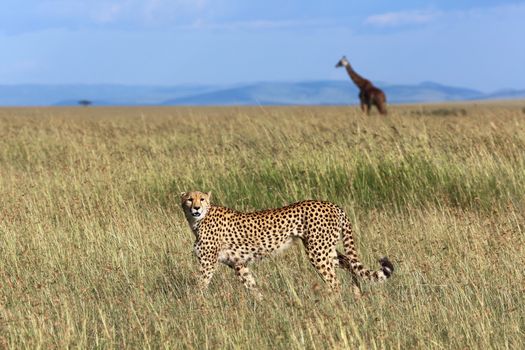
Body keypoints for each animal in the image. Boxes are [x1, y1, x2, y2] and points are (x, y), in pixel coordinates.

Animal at [181, 191, 392, 298]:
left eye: (202, 199)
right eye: (189, 199)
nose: (196, 208)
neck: (197, 221)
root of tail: (332, 205)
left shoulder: (208, 263)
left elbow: (201, 284)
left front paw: (195, 306)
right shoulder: (238, 264)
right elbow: (252, 285)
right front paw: (262, 305)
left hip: (318, 251)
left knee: (335, 282)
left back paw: (334, 304)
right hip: (327, 249)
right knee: (349, 262)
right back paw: (356, 294)